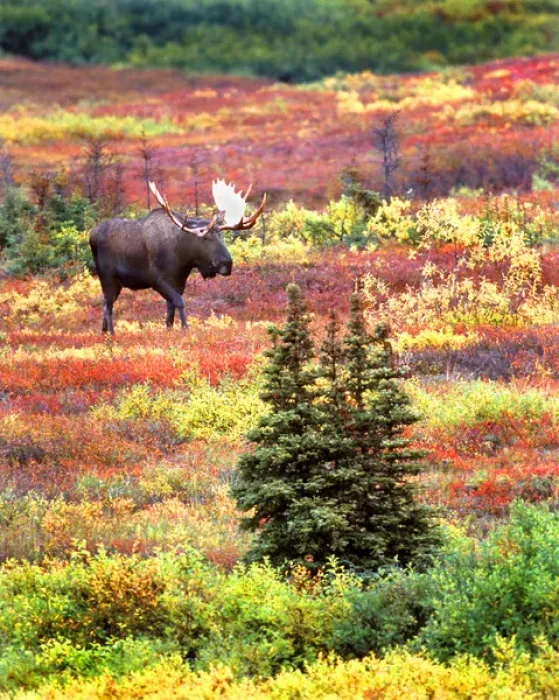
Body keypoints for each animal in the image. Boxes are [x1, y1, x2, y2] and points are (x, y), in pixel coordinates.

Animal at [89, 179, 266, 333]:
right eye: (205, 238)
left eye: (221, 236)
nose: (227, 263)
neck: (182, 259)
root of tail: (92, 234)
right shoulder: (157, 280)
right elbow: (179, 303)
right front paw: (185, 327)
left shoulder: (179, 282)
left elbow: (170, 311)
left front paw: (170, 330)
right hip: (107, 277)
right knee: (108, 306)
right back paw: (112, 333)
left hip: (117, 283)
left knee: (105, 303)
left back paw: (103, 332)